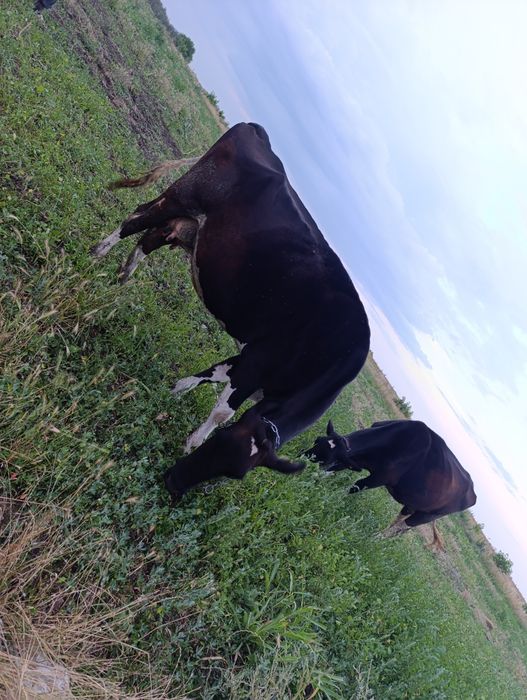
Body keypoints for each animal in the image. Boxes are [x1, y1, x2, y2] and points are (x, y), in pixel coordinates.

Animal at [91, 123, 371, 500]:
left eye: (235, 475)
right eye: (216, 447)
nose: (173, 483)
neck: (330, 356)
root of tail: (255, 130)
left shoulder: (251, 361)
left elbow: (206, 375)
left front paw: (172, 391)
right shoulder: (257, 363)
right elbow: (222, 411)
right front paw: (190, 440)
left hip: (188, 224)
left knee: (149, 239)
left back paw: (121, 280)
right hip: (180, 197)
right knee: (133, 220)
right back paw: (96, 256)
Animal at [306, 419, 476, 549]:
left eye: (327, 457)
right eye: (317, 440)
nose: (303, 457)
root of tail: (472, 492)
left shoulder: (380, 478)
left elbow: (354, 487)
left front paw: (327, 499)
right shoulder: (352, 461)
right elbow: (328, 472)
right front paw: (313, 481)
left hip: (429, 515)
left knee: (403, 526)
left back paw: (375, 539)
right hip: (413, 505)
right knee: (399, 525)